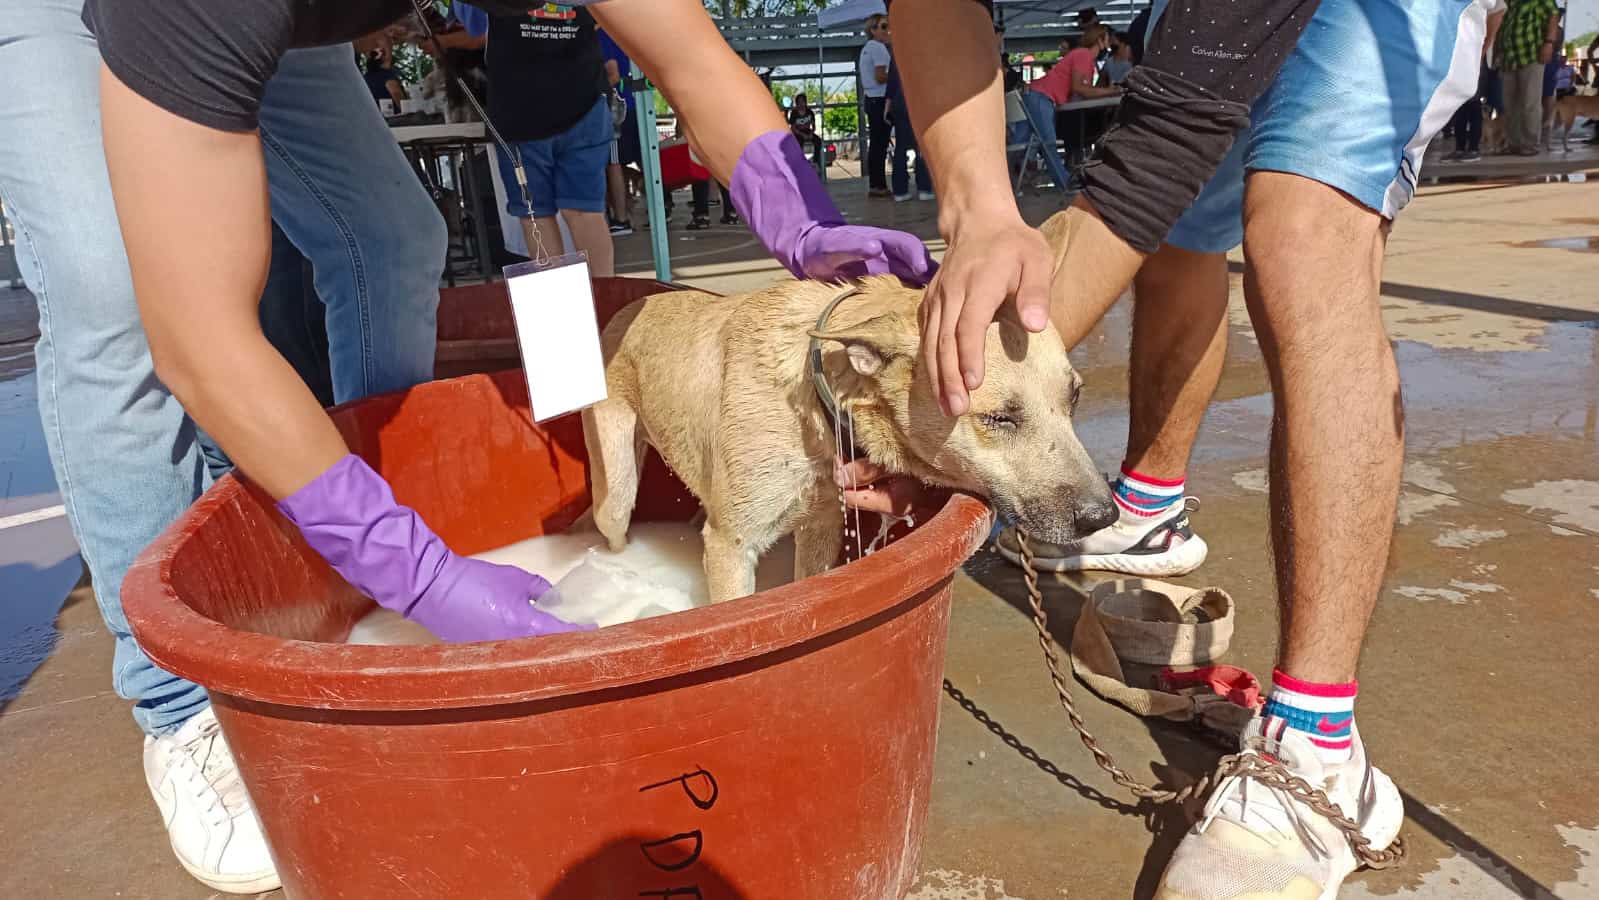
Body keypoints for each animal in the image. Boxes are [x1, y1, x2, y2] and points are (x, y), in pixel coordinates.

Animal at [582, 214, 1119, 601]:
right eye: (998, 419)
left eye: (1074, 397)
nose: (1102, 516)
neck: (816, 403)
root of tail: (625, 310)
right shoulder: (731, 546)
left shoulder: (819, 528)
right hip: (617, 494)